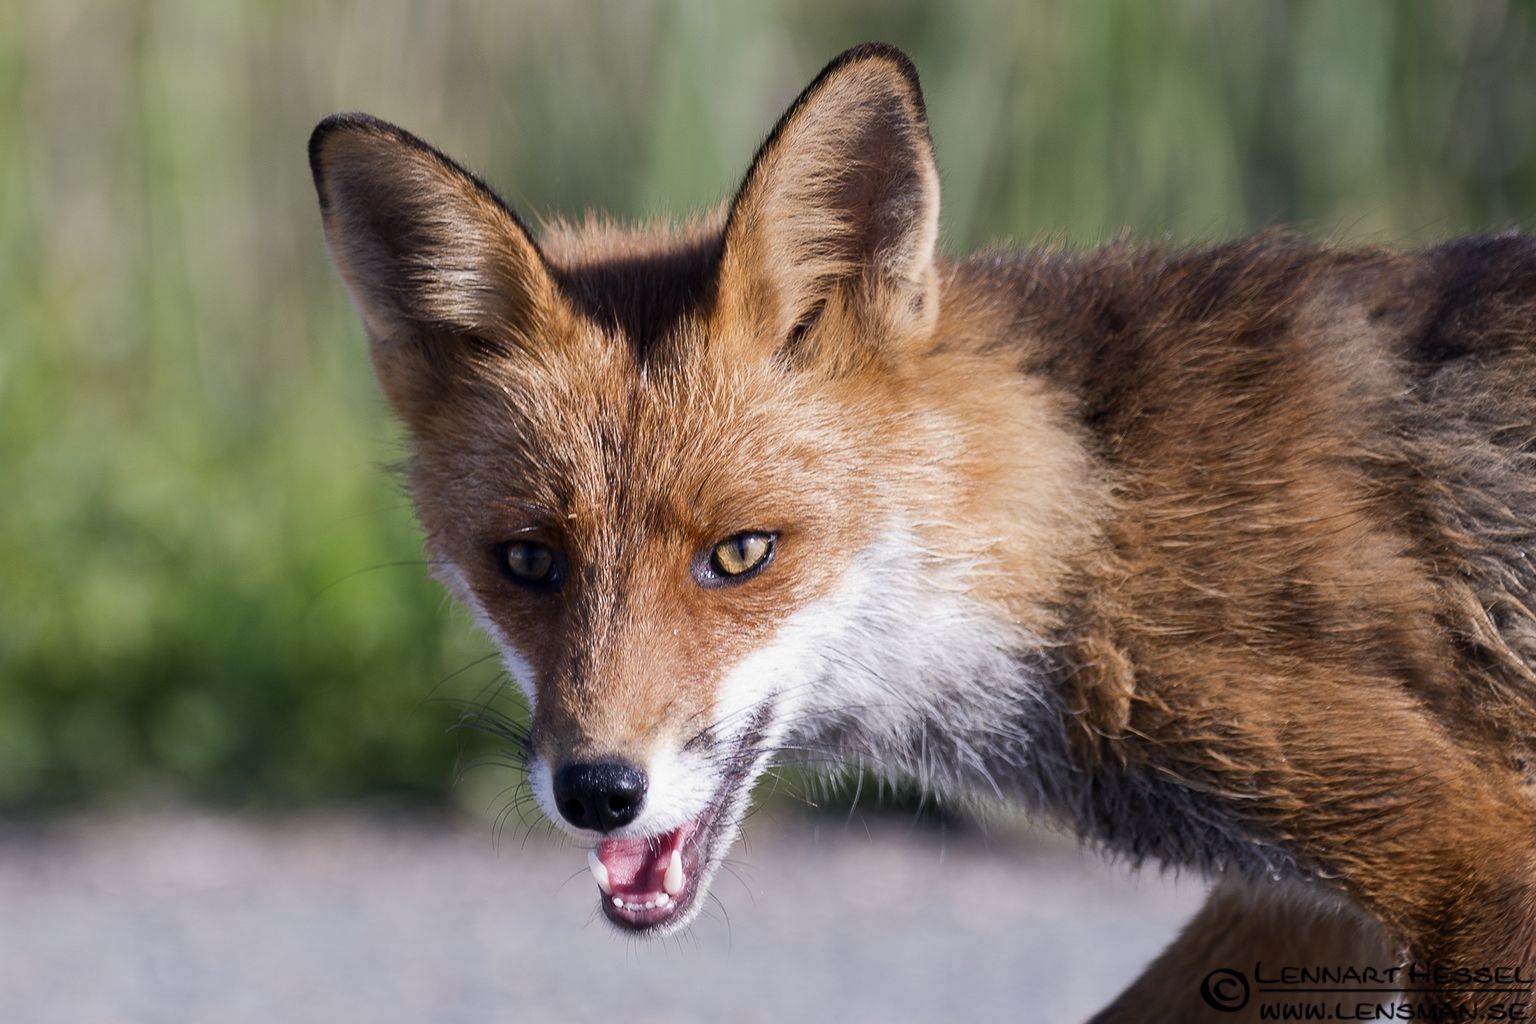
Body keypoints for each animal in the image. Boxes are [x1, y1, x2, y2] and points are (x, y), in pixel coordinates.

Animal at [310, 42, 1536, 1022]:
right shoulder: (1307, 907)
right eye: (527, 561)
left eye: (741, 553)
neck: (1094, 522)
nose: (598, 791)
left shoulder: (1474, 859)